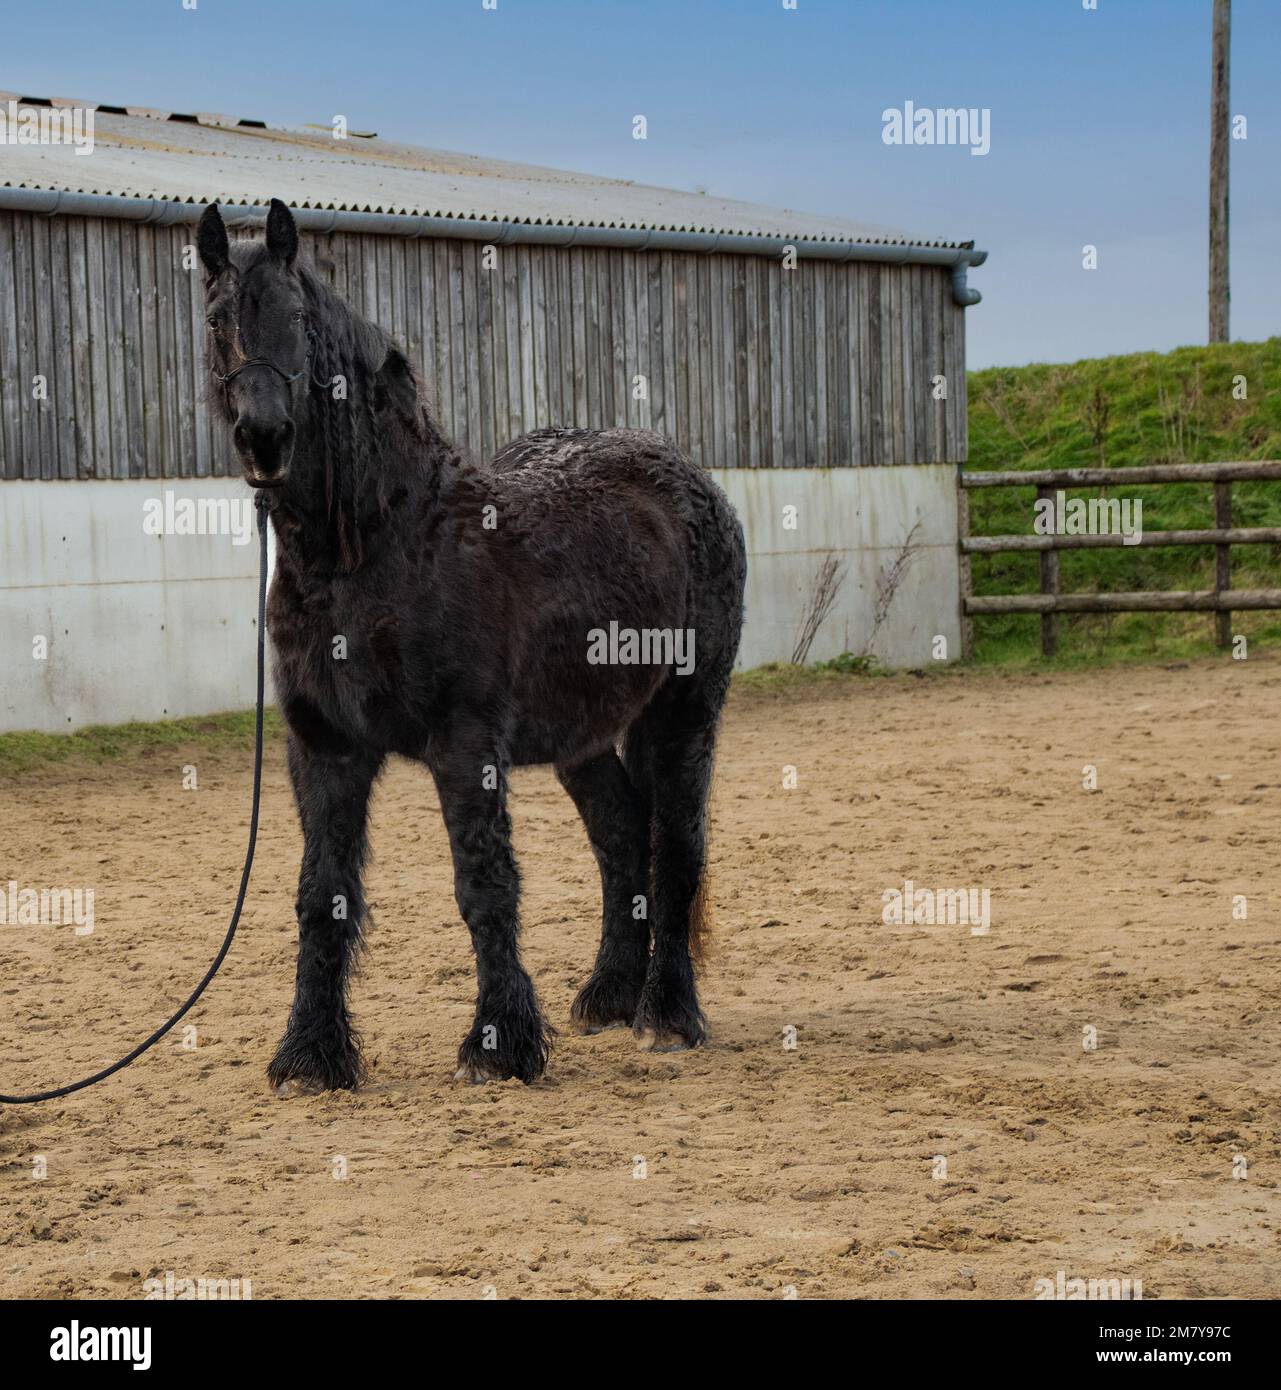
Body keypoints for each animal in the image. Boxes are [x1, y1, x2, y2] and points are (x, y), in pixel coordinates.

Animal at [197, 199, 746, 1092]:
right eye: (216, 320)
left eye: (300, 318)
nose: (264, 438)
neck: (383, 539)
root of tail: (689, 481)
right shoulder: (323, 746)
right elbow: (321, 896)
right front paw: (311, 1054)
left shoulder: (464, 742)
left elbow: (483, 885)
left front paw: (499, 1044)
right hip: (580, 737)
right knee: (621, 835)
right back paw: (608, 995)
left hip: (684, 711)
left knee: (674, 844)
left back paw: (665, 1015)